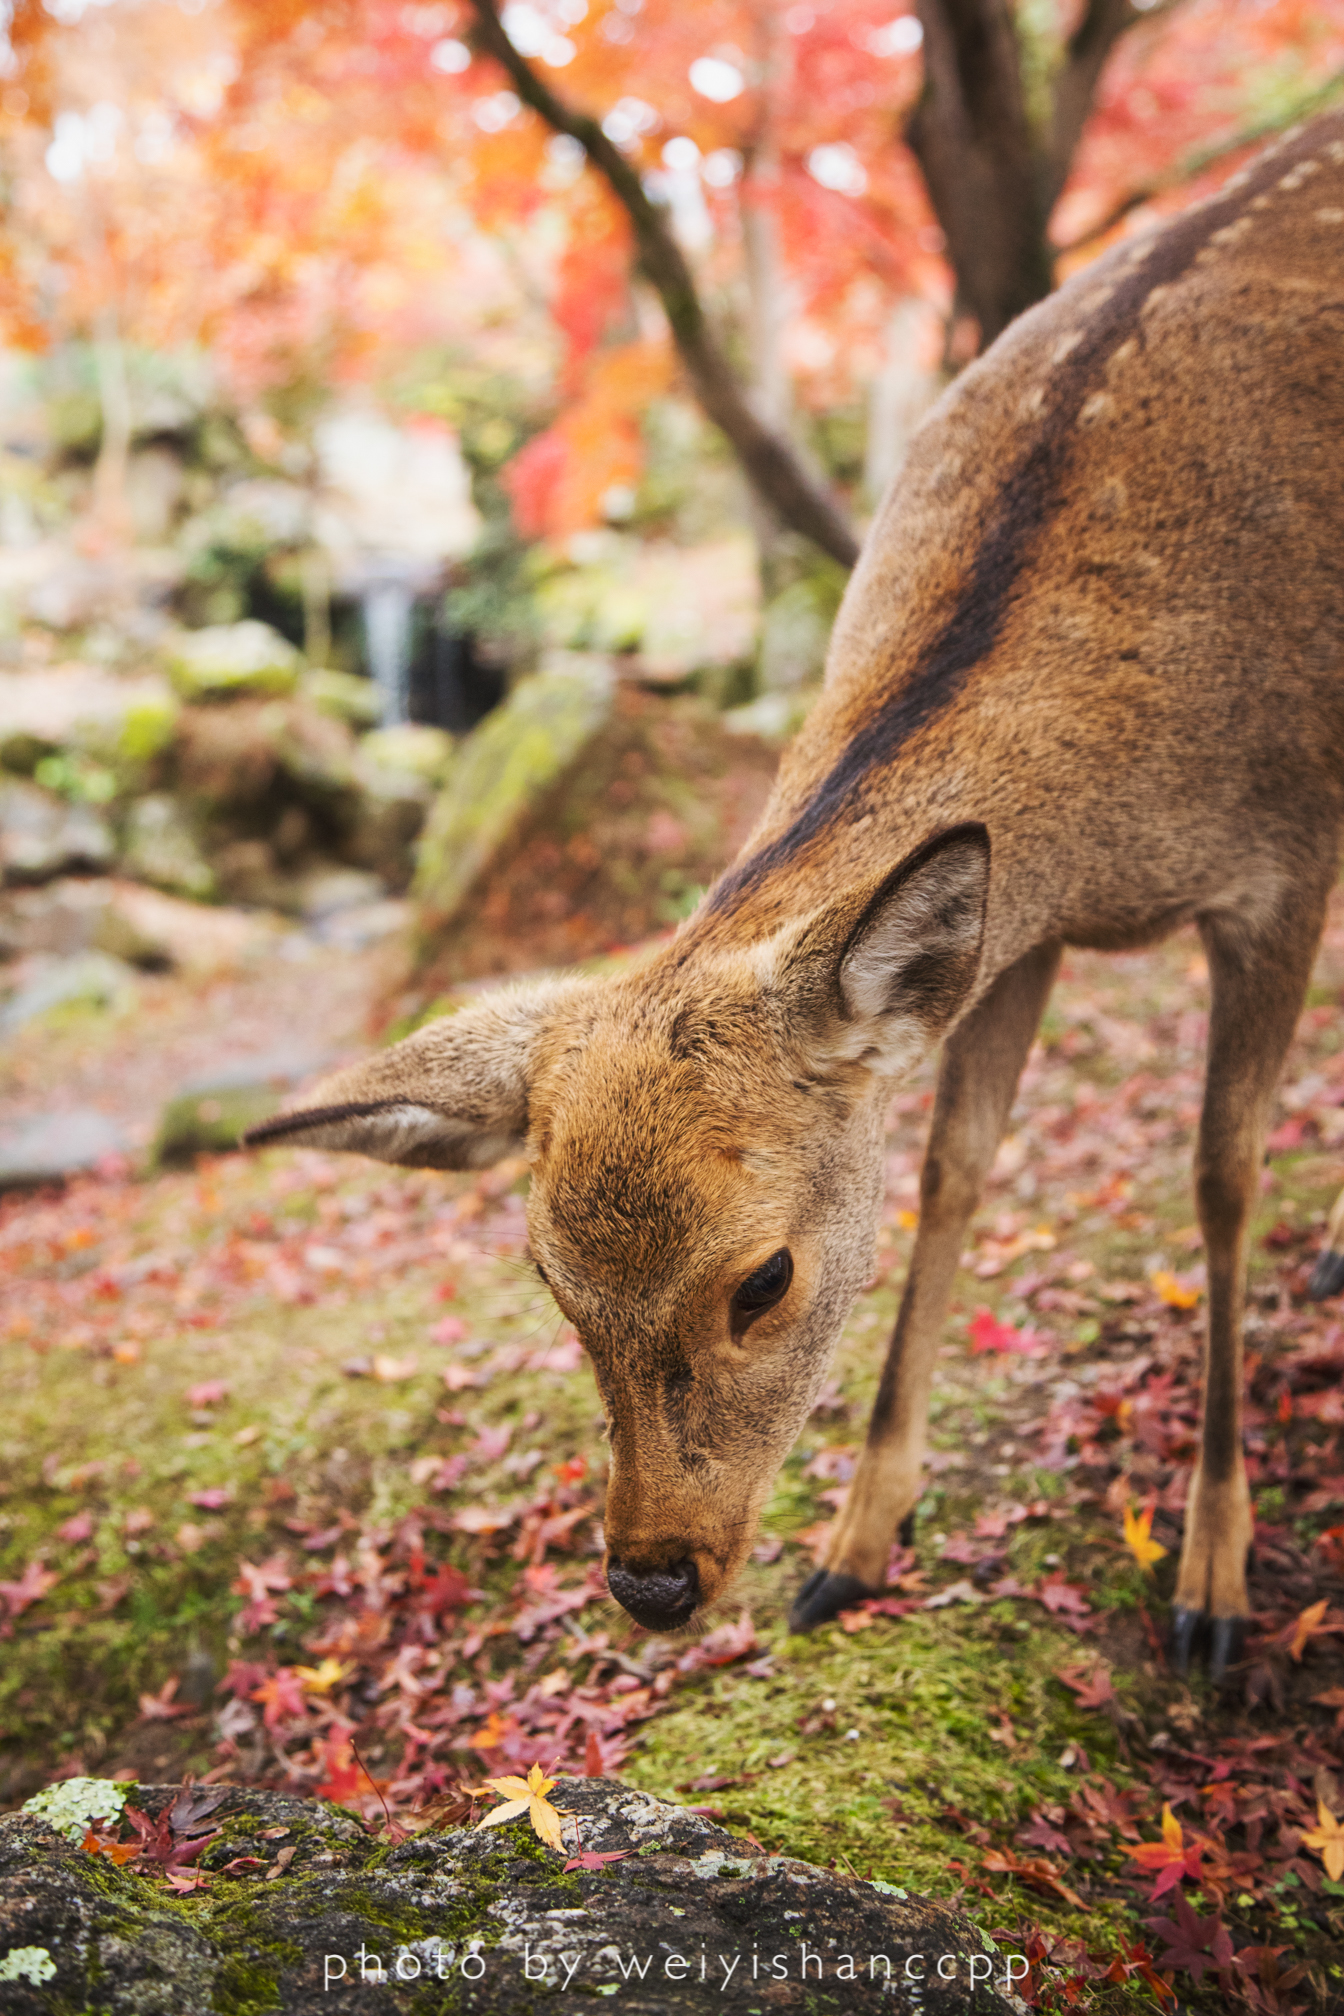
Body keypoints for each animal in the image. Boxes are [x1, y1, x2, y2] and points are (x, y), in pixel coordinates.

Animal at [246, 114, 1344, 1685]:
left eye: (762, 1279)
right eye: (547, 1279)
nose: (652, 1578)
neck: (1115, 816)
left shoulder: (1287, 862)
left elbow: (1222, 1173)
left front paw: (1213, 1580)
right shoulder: (1010, 936)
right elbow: (956, 1169)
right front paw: (860, 1542)